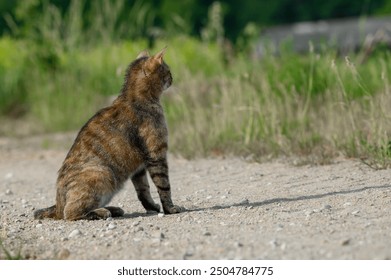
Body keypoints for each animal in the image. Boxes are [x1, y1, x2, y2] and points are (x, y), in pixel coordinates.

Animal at [33, 48, 182, 221]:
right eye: (168, 70)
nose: (172, 78)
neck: (134, 98)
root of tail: (57, 206)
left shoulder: (139, 169)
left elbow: (143, 191)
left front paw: (151, 207)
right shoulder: (156, 155)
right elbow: (164, 187)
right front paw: (170, 208)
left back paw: (113, 209)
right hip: (102, 173)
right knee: (70, 213)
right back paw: (102, 212)